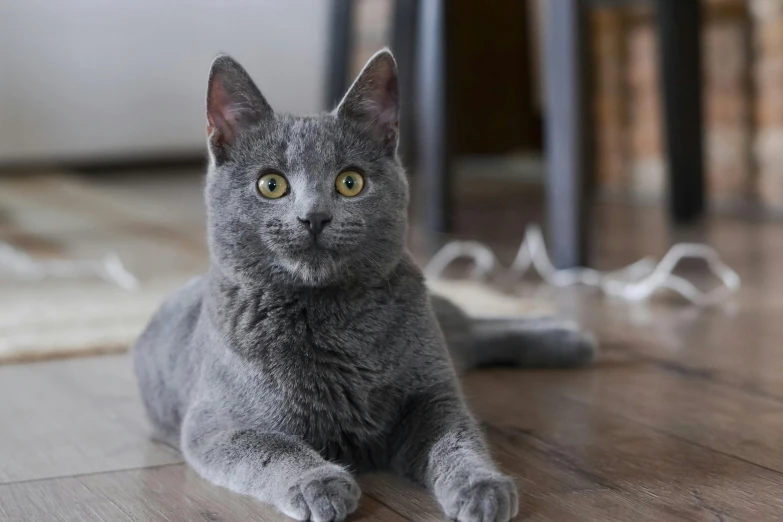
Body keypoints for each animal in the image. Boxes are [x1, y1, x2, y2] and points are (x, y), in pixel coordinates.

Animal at [135, 49, 596, 520]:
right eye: (271, 184)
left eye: (350, 181)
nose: (314, 217)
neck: (330, 318)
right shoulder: (216, 425)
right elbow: (273, 449)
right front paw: (319, 483)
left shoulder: (432, 397)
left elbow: (458, 440)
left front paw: (481, 486)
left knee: (472, 329)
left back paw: (571, 337)